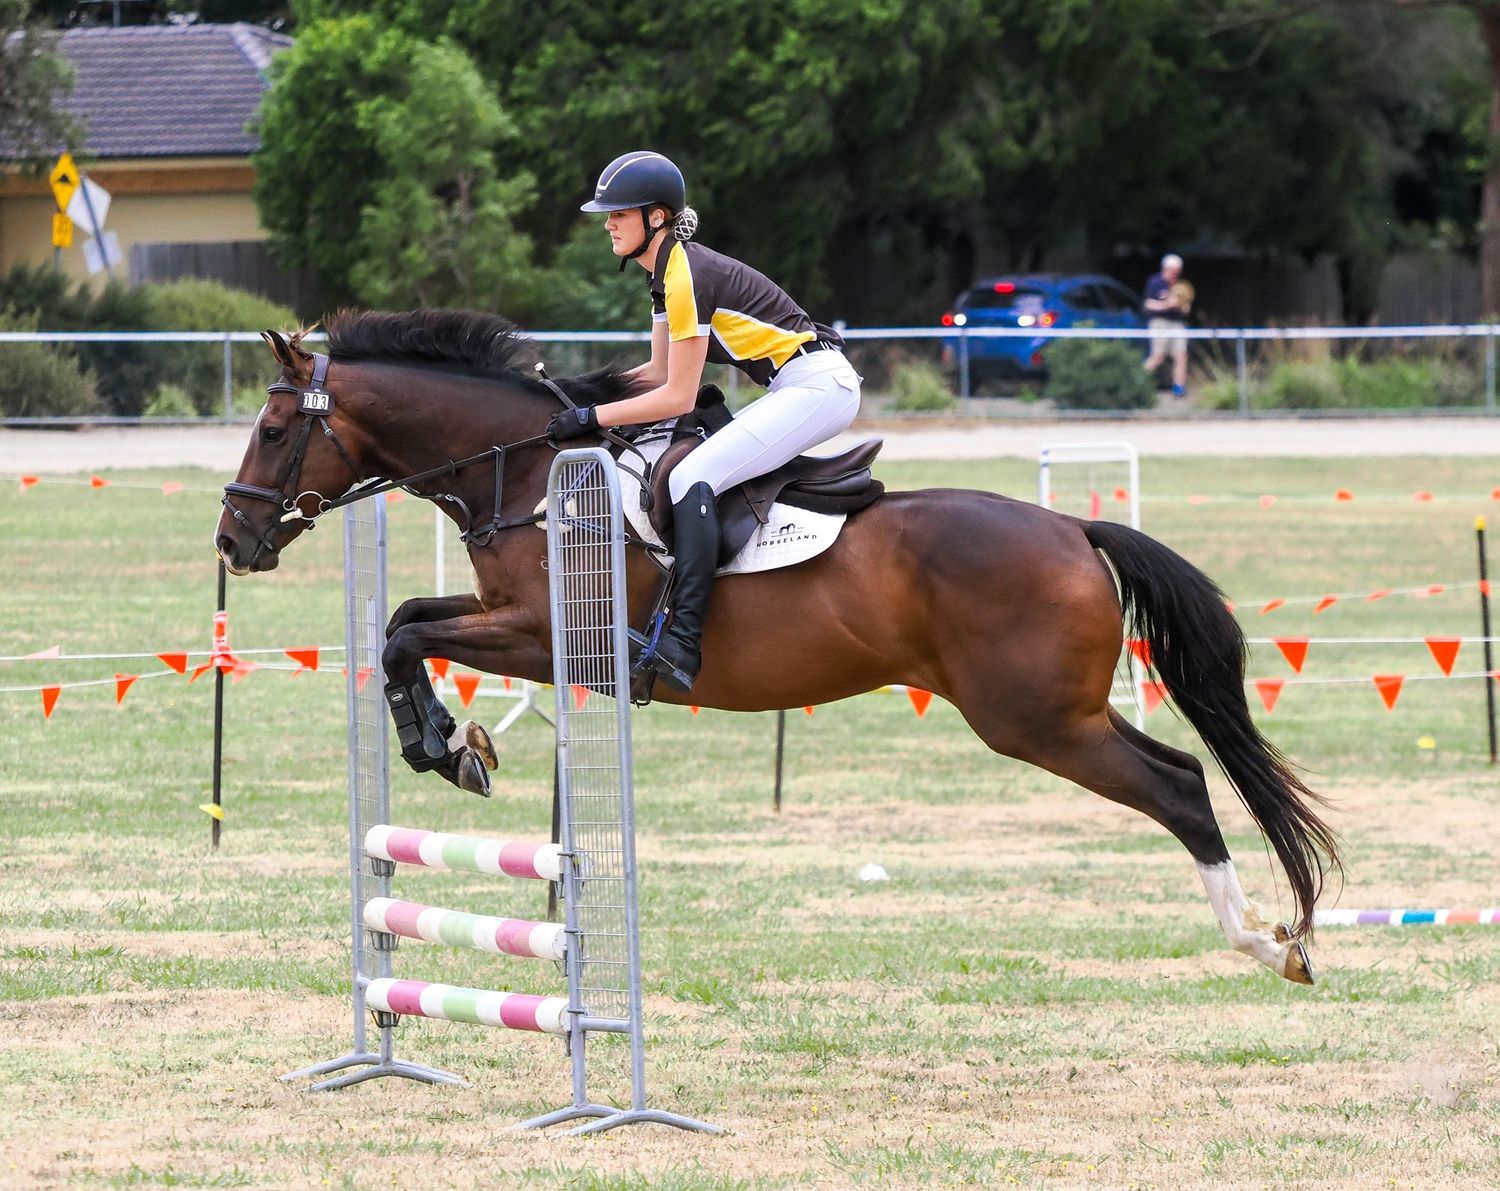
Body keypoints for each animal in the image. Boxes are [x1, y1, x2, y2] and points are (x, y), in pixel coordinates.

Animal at [215, 308, 1340, 986]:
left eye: (272, 432)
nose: (233, 540)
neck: (529, 469)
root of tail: (1074, 529)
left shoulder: (544, 637)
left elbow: (405, 633)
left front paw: (447, 748)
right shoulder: (512, 622)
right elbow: (403, 621)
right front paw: (452, 747)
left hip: (1031, 719)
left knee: (1179, 787)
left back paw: (1262, 940)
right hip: (1057, 710)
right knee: (1179, 768)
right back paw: (1272, 936)